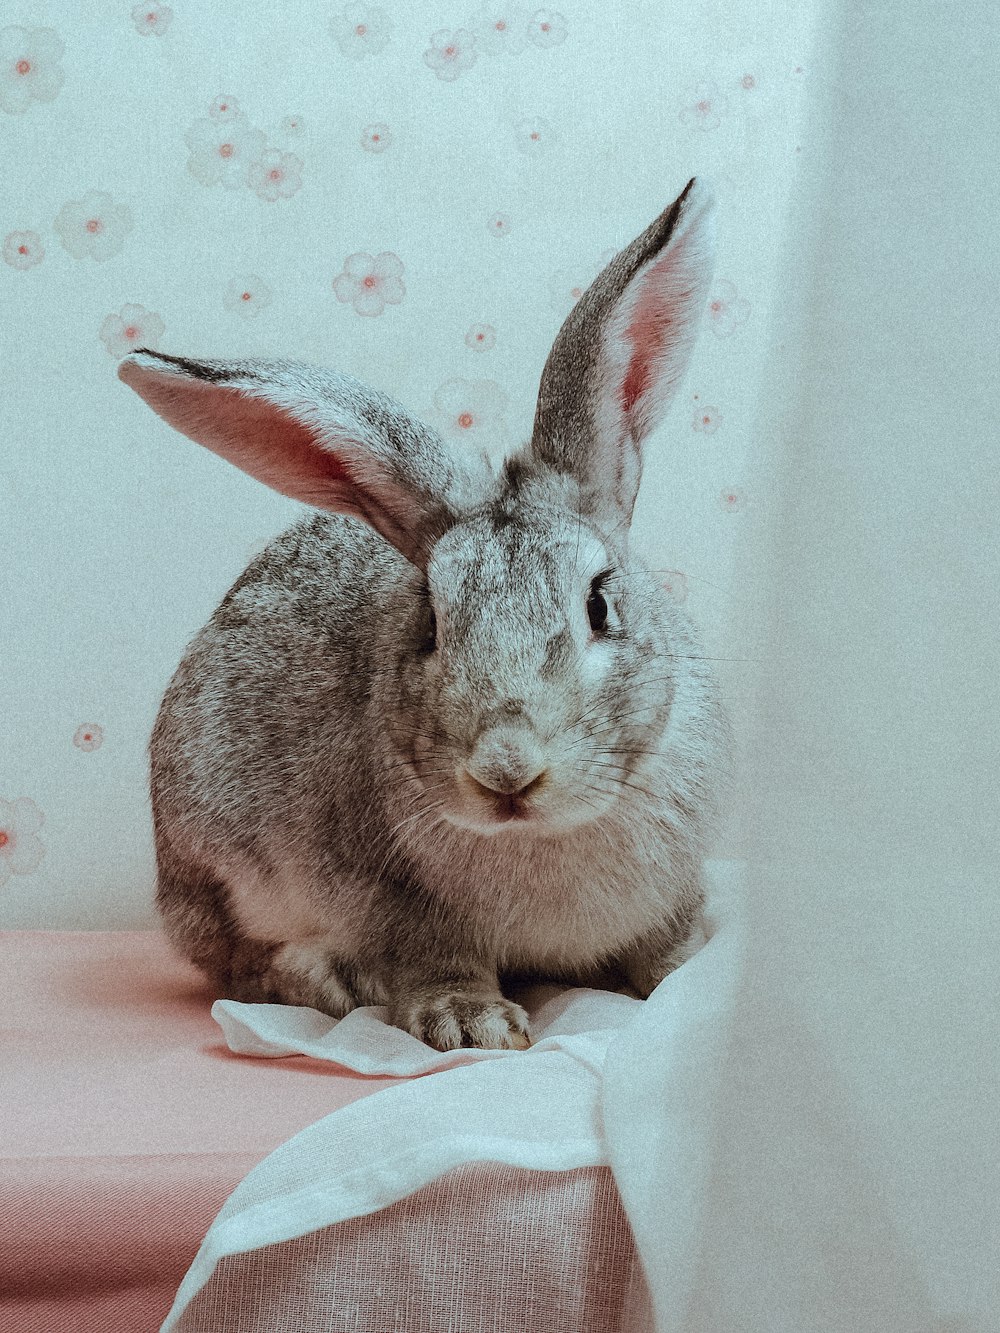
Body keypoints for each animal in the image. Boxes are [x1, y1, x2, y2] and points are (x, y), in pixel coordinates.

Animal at [119, 179, 730, 1050]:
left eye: (599, 603)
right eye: (432, 625)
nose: (505, 770)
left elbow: (669, 946)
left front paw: (691, 977)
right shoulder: (393, 903)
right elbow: (434, 960)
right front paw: (473, 1024)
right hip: (214, 871)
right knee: (244, 966)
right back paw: (331, 980)